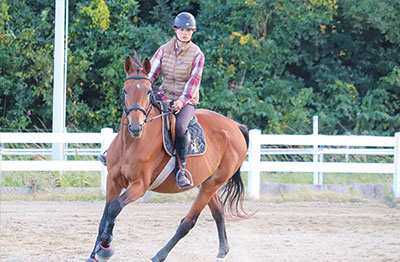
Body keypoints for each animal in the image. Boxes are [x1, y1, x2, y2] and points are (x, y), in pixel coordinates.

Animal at [85, 52, 248, 262]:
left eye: (148, 92)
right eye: (125, 90)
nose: (136, 127)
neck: (130, 144)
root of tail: (235, 126)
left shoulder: (139, 186)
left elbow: (114, 208)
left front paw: (105, 247)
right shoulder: (112, 181)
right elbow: (104, 217)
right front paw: (94, 254)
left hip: (212, 184)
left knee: (188, 222)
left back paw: (159, 255)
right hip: (206, 182)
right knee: (218, 212)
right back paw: (222, 250)